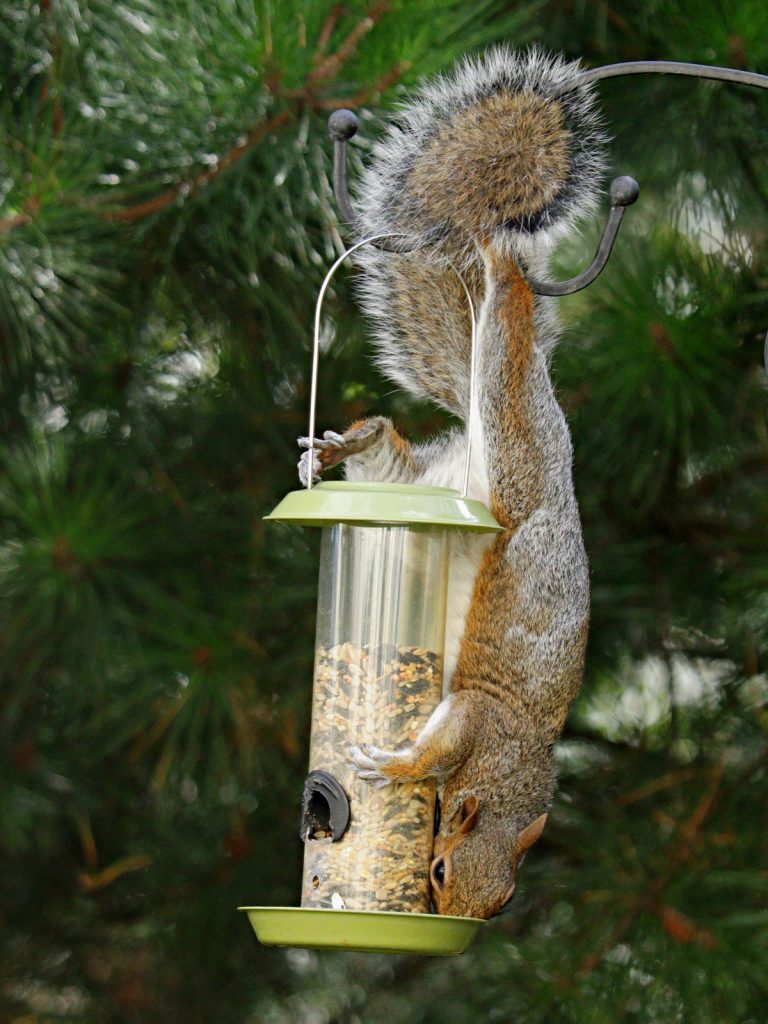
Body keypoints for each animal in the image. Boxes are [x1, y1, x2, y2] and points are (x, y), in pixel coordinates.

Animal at [296, 49, 606, 921]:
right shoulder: (473, 714)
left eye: (500, 903)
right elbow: (432, 747)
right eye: (436, 872)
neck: (515, 765)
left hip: (429, 473)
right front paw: (395, 767)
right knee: (504, 326)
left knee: (388, 451)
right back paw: (500, 261)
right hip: (512, 433)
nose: (460, 928)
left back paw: (349, 444)